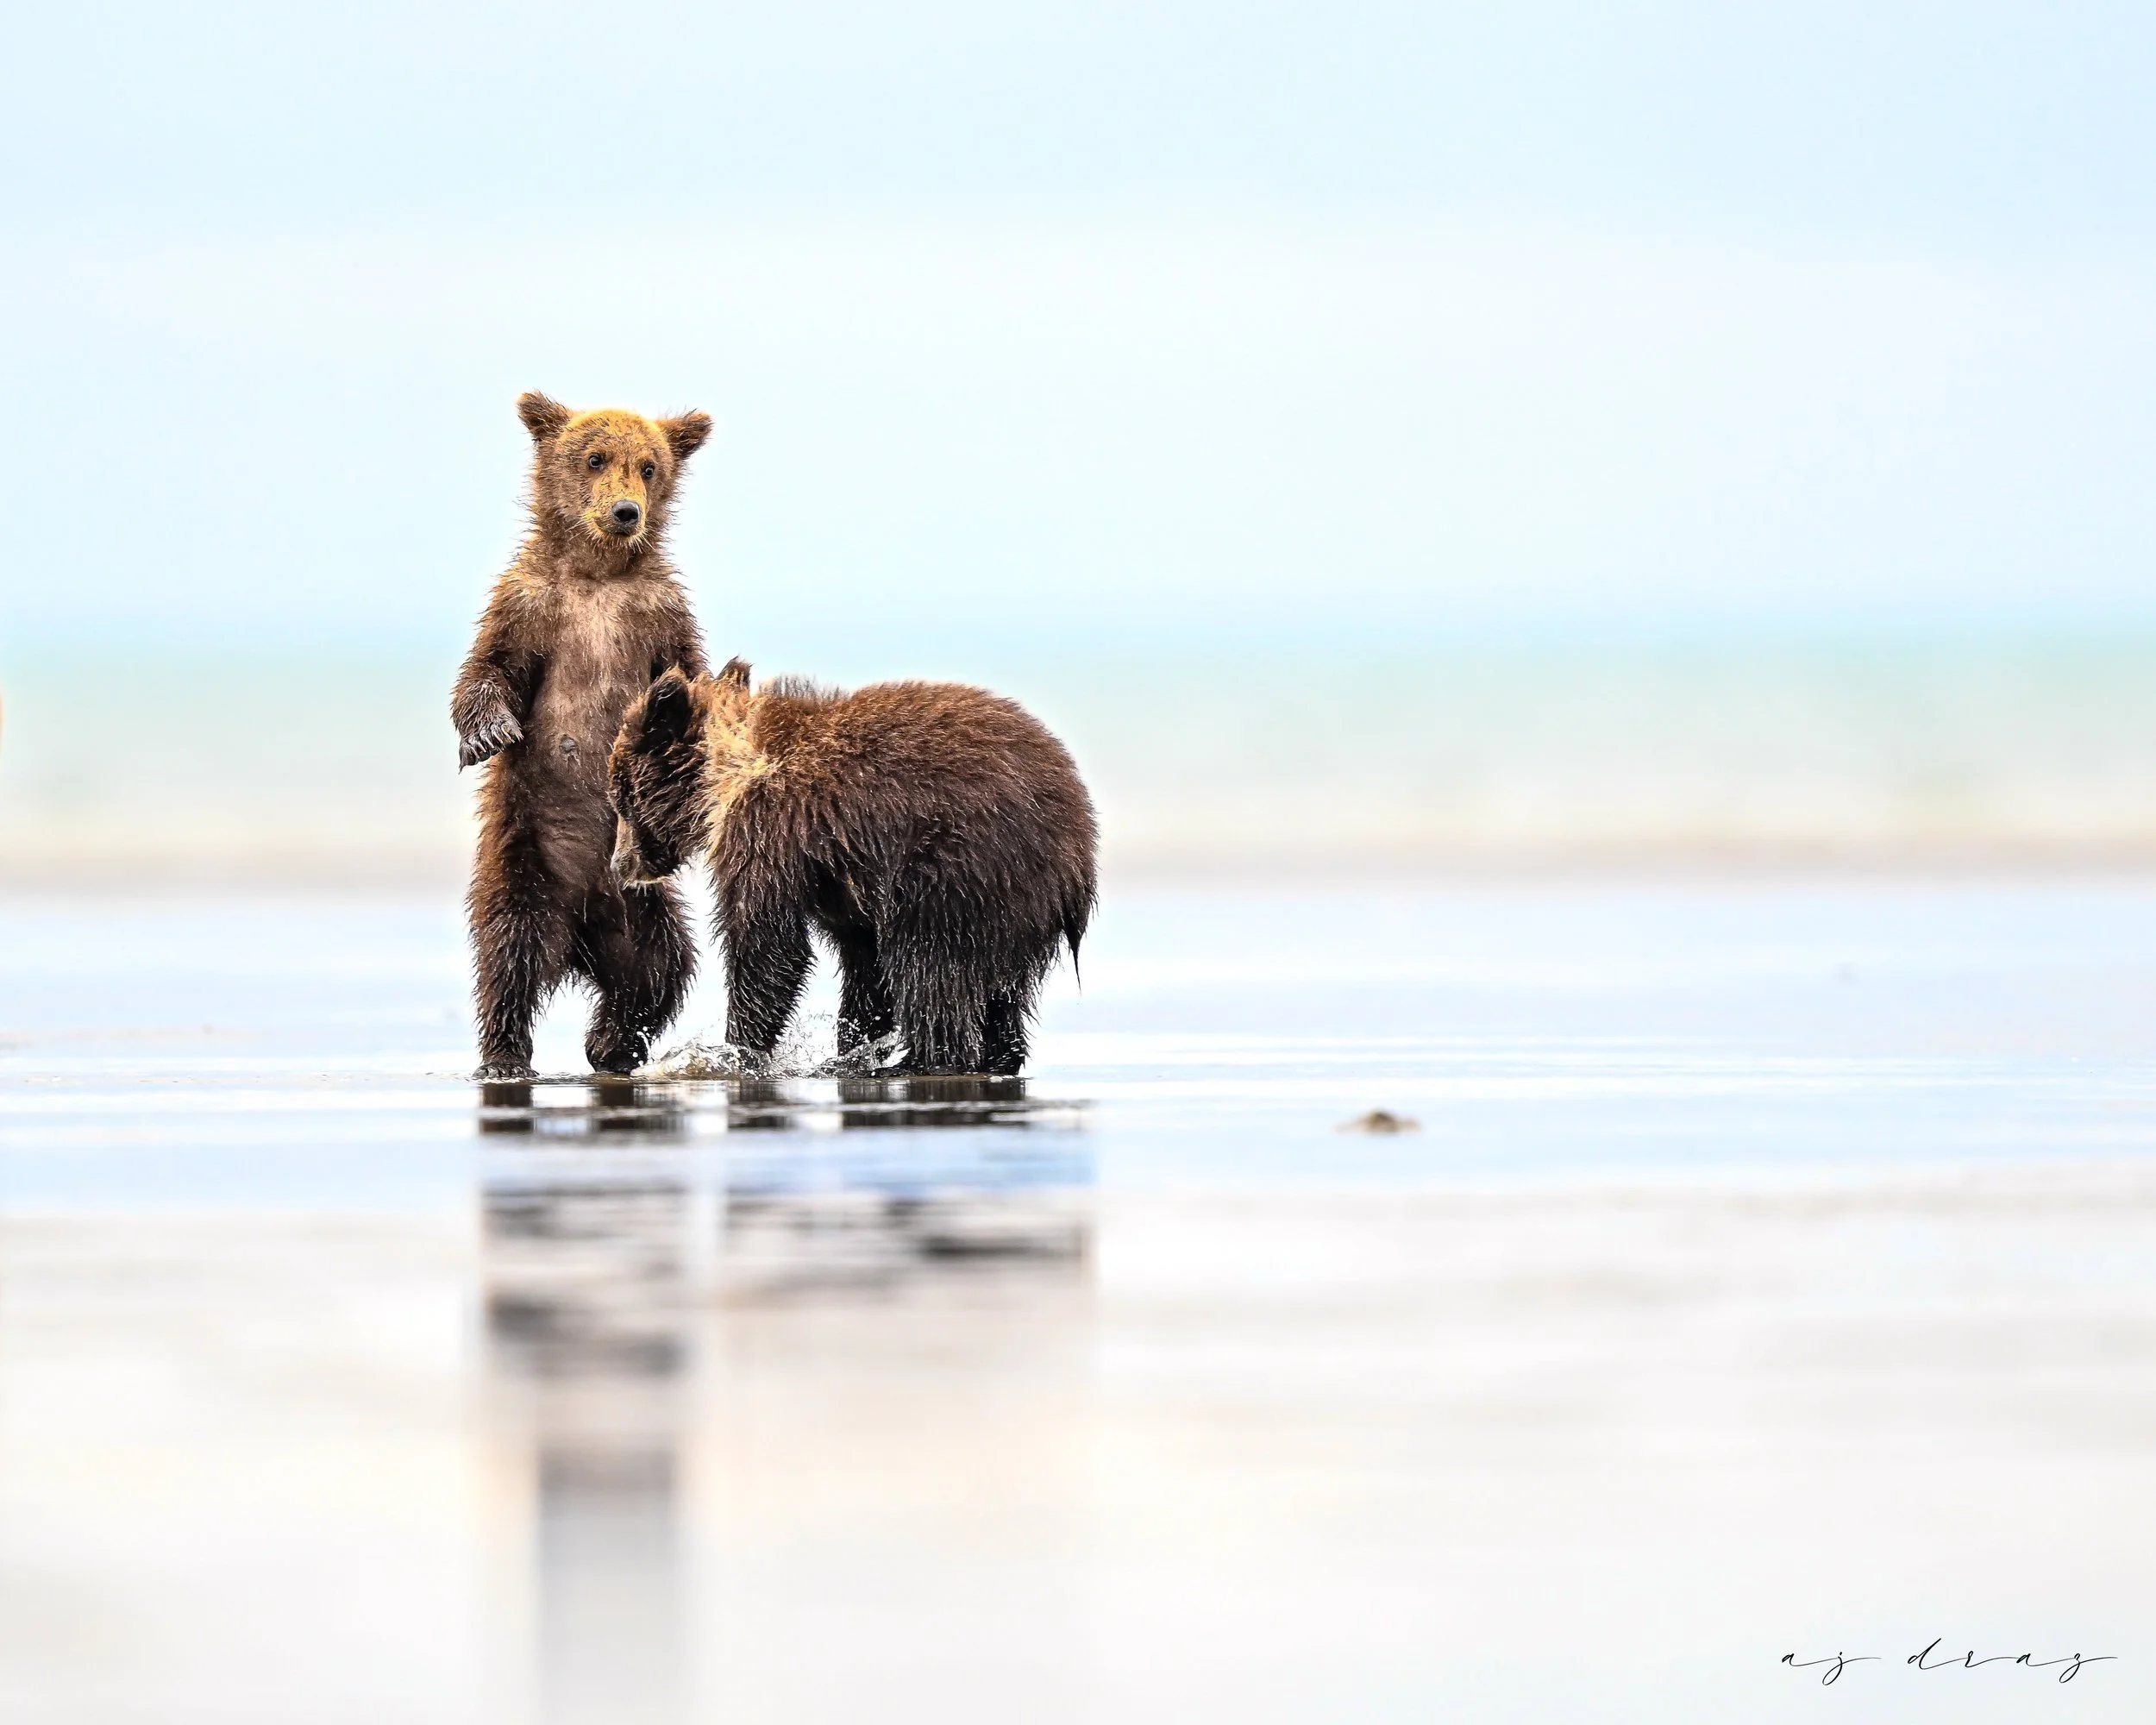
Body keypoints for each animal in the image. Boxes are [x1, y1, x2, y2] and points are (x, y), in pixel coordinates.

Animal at [451, 390, 714, 1079]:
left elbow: (691, 675)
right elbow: (489, 670)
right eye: (595, 457)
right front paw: (487, 734)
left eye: (648, 465)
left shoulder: (658, 616)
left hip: (643, 901)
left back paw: (612, 1042)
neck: (598, 575)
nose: (626, 511)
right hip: (525, 861)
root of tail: (581, 936)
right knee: (507, 957)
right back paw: (505, 1053)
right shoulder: (529, 606)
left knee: (662, 968)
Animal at [608, 659, 1097, 1076]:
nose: (618, 864)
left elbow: (768, 944)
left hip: (961, 870)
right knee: (1003, 994)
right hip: (1018, 913)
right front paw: (852, 1046)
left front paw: (735, 1051)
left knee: (930, 964)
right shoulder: (843, 887)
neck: (729, 773)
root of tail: (1079, 850)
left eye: (622, 797)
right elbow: (863, 966)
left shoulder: (770, 833)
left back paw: (924, 1060)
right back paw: (996, 1056)